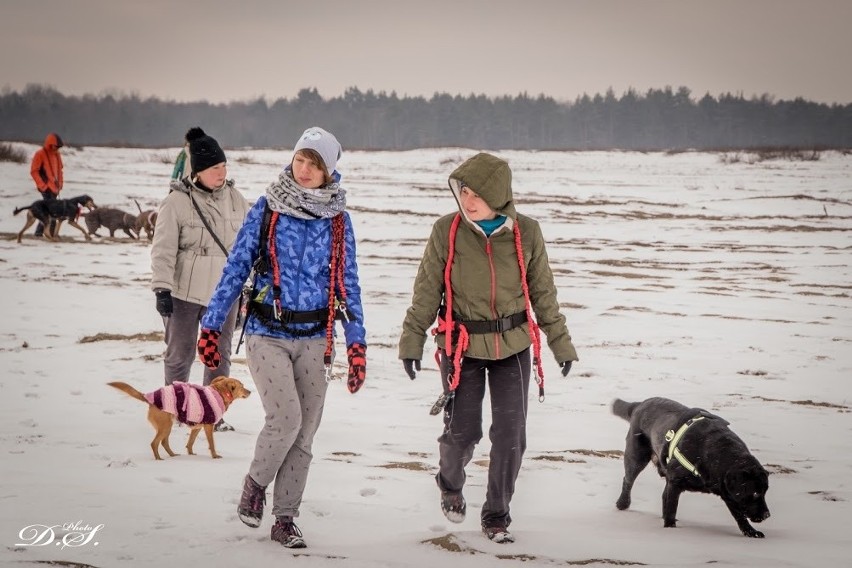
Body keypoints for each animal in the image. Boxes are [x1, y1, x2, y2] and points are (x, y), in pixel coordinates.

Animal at [108, 378, 251, 462]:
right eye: (242, 386)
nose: (250, 391)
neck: (218, 393)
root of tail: (148, 397)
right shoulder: (208, 426)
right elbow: (212, 444)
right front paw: (215, 456)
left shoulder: (197, 427)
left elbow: (190, 442)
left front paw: (191, 454)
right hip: (165, 426)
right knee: (155, 443)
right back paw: (159, 459)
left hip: (167, 427)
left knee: (164, 442)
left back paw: (172, 455)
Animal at [612, 394, 772, 536]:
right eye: (755, 493)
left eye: (765, 491)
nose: (767, 515)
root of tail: (639, 404)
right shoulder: (675, 483)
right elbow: (671, 509)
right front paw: (670, 528)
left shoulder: (728, 492)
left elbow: (739, 515)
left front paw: (750, 532)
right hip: (636, 456)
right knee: (628, 480)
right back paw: (622, 503)